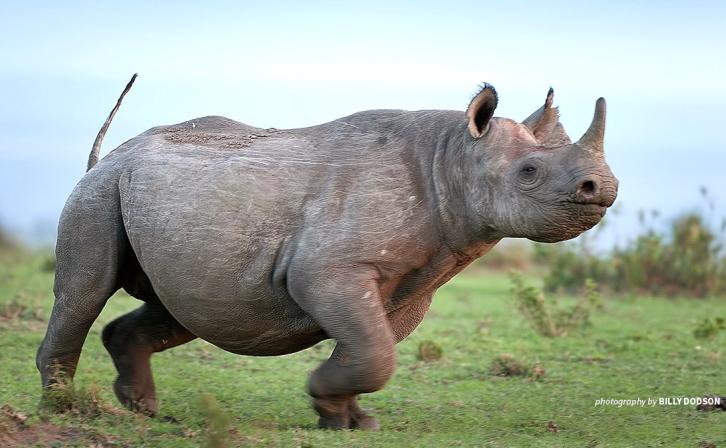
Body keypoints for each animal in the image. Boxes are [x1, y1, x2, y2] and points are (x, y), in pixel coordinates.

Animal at [37, 78, 620, 430]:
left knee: (181, 310)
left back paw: (144, 411)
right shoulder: (327, 269)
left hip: (154, 200)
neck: (453, 156)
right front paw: (325, 400)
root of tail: (108, 157)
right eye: (530, 172)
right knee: (84, 294)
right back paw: (63, 409)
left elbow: (370, 347)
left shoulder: (409, 282)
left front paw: (347, 419)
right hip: (98, 193)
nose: (604, 187)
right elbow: (374, 352)